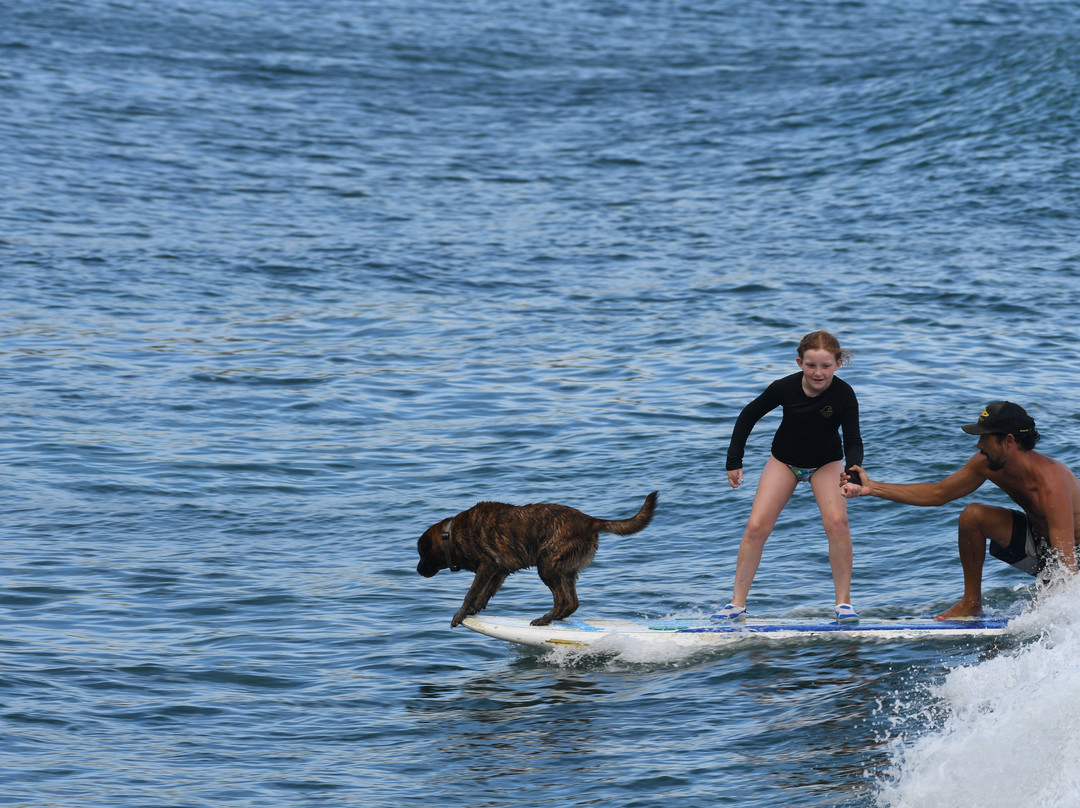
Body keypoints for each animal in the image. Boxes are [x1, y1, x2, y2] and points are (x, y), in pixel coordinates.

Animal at [419, 488, 656, 626]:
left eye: (421, 553)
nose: (417, 570)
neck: (450, 534)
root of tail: (590, 521)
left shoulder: (486, 566)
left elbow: (471, 593)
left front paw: (460, 614)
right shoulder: (499, 571)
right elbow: (485, 593)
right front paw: (474, 610)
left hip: (547, 566)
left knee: (564, 600)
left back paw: (545, 619)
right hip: (565, 571)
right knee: (573, 602)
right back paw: (554, 618)